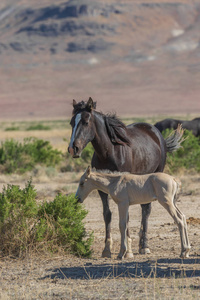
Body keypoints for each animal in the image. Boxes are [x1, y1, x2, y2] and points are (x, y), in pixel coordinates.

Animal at [68, 98, 184, 258]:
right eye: (71, 123)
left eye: (85, 122)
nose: (73, 149)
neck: (108, 153)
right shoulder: (102, 190)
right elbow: (107, 215)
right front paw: (107, 249)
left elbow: (126, 220)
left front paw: (127, 251)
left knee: (146, 211)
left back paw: (144, 246)